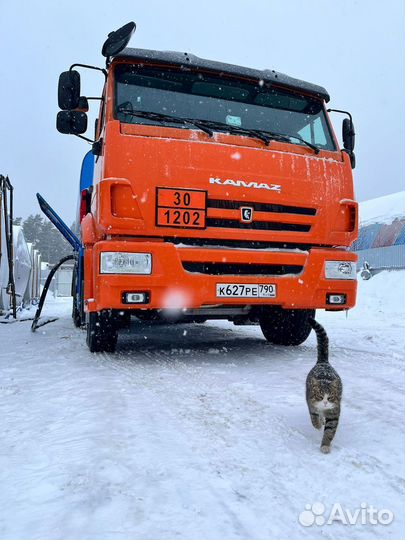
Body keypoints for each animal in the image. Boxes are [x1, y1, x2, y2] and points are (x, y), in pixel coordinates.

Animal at [306, 318, 340, 454]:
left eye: (329, 398)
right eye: (320, 397)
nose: (325, 403)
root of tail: (323, 362)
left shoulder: (334, 410)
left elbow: (330, 431)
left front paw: (325, 445)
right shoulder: (311, 403)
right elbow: (313, 417)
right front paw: (318, 425)